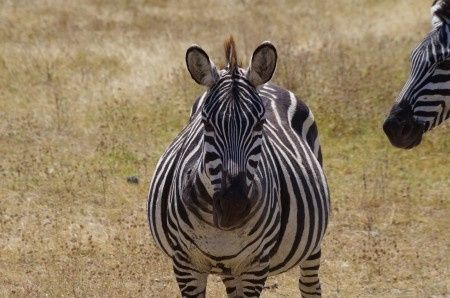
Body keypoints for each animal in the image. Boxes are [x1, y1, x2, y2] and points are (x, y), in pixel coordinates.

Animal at [149, 37, 328, 298]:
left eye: (260, 124)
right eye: (206, 124)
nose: (233, 207)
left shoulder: (254, 266)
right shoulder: (185, 264)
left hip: (312, 243)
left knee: (310, 284)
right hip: (228, 268)